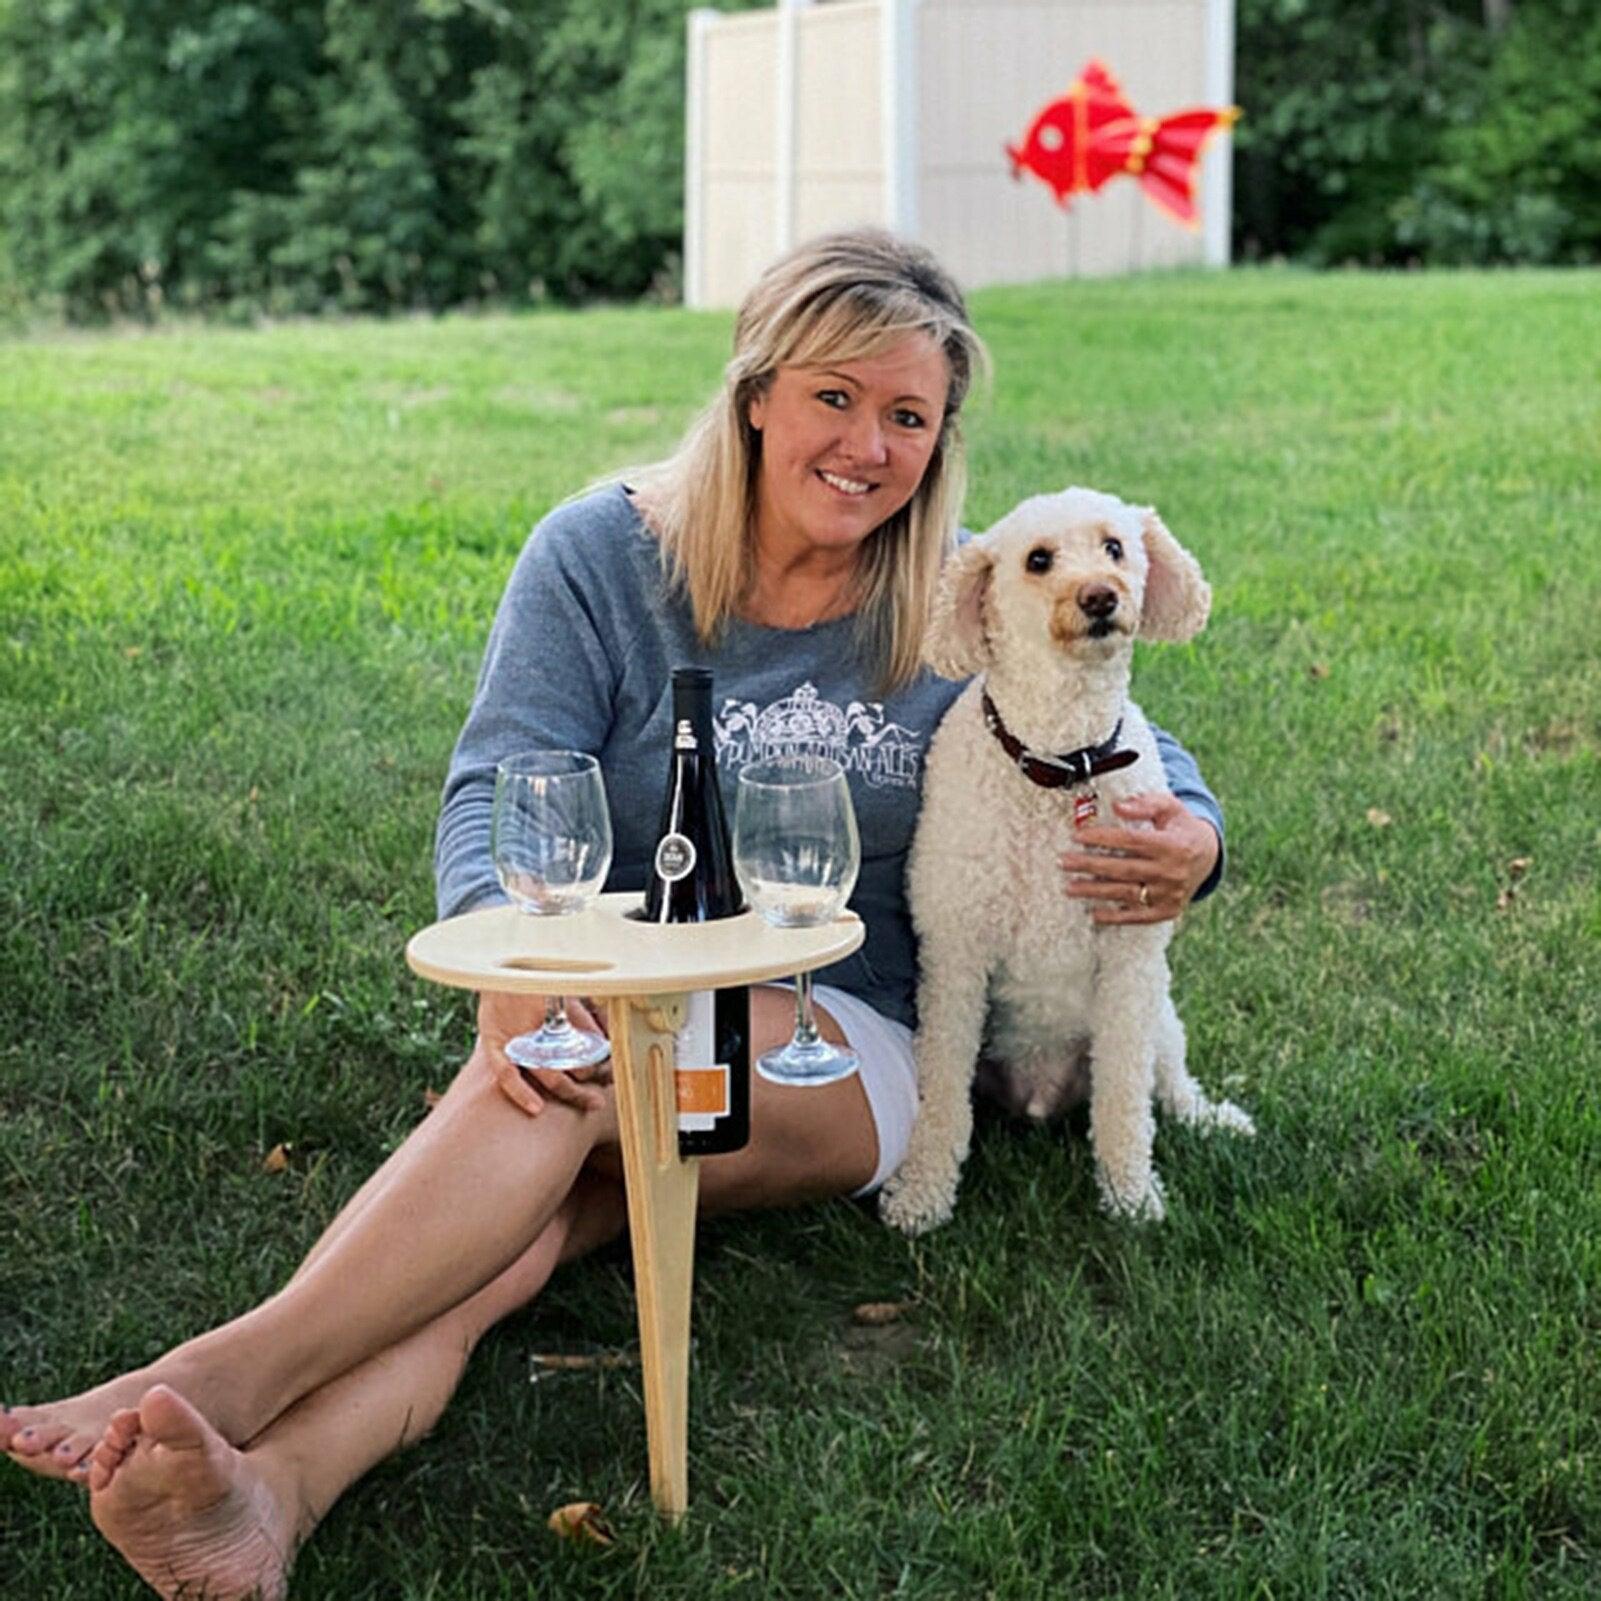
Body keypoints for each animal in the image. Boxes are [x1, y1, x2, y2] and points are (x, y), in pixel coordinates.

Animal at [877, 480, 1248, 1229]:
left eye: (1114, 546)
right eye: (1038, 559)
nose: (1101, 596)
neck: (1063, 761)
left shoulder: (1130, 962)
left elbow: (1124, 1103)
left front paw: (1131, 1197)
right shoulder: (954, 959)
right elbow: (940, 1101)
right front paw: (923, 1197)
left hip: (1159, 1011)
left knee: (1168, 1084)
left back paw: (1209, 1118)